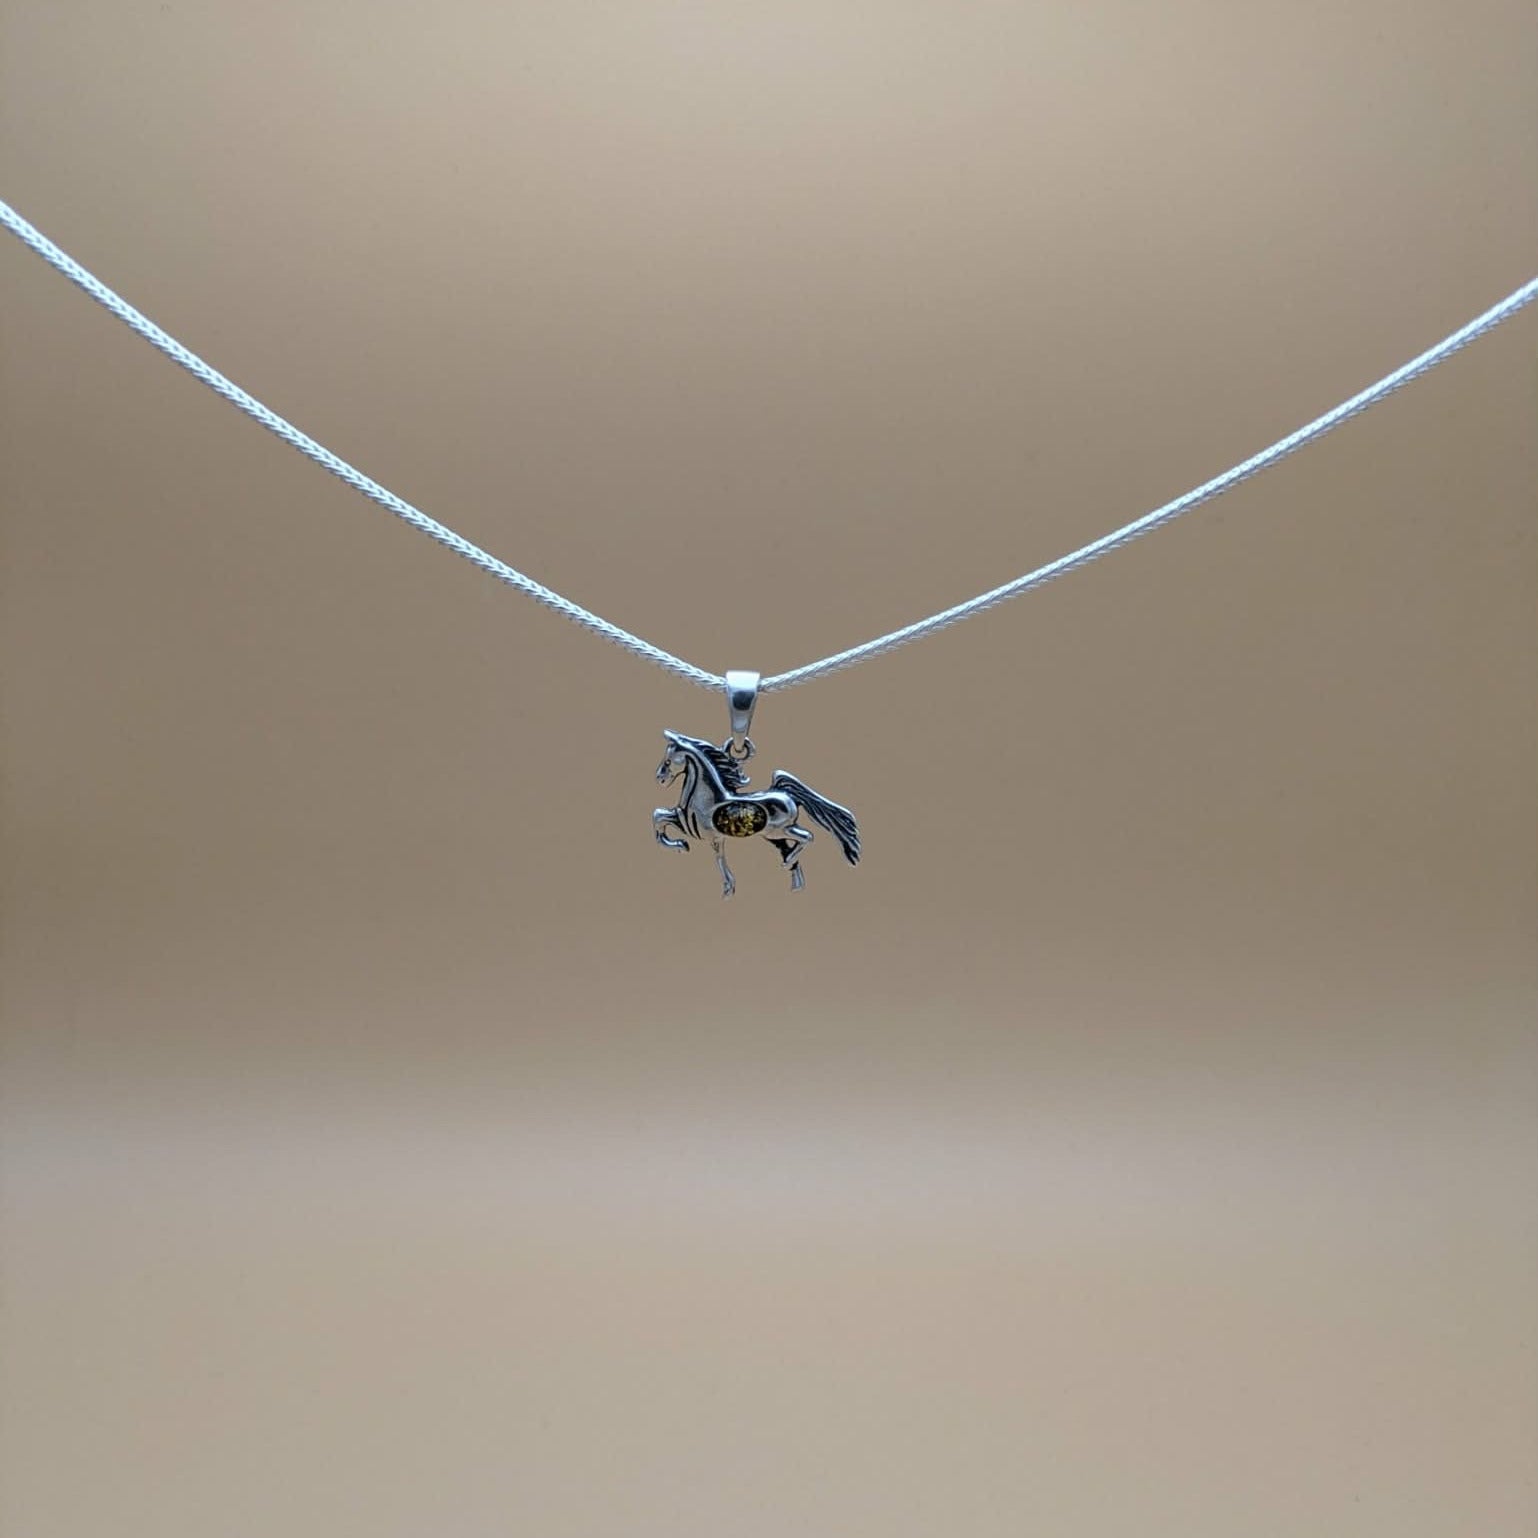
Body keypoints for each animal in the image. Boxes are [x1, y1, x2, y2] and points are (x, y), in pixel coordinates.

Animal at [653, 731, 860, 897]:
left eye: (668, 760)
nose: (659, 778)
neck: (707, 796)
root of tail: (785, 793)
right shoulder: (692, 825)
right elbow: (659, 816)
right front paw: (681, 845)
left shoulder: (707, 834)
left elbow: (659, 819)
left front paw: (681, 846)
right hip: (774, 836)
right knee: (795, 848)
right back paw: (794, 879)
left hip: (778, 831)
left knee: (807, 836)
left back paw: (787, 862)